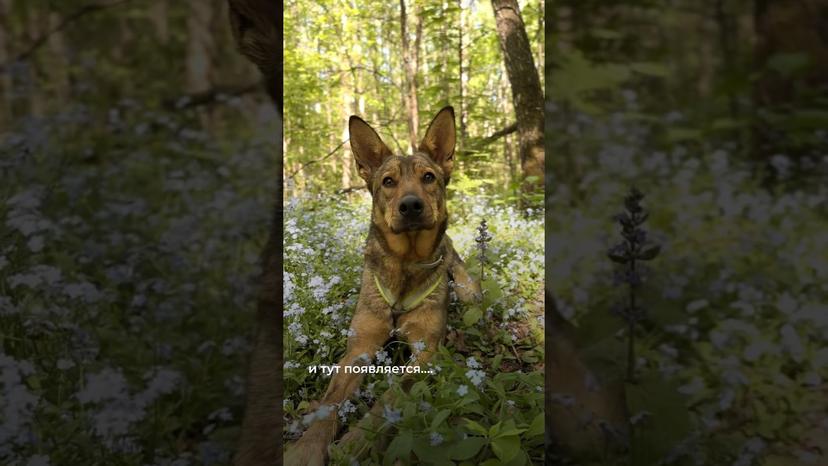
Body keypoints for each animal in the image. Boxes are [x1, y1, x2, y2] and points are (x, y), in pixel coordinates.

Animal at [286, 106, 482, 466]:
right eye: (388, 182)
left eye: (428, 177)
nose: (411, 205)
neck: (405, 263)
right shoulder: (359, 346)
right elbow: (329, 404)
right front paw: (305, 448)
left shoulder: (425, 351)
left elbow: (389, 398)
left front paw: (356, 442)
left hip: (468, 291)